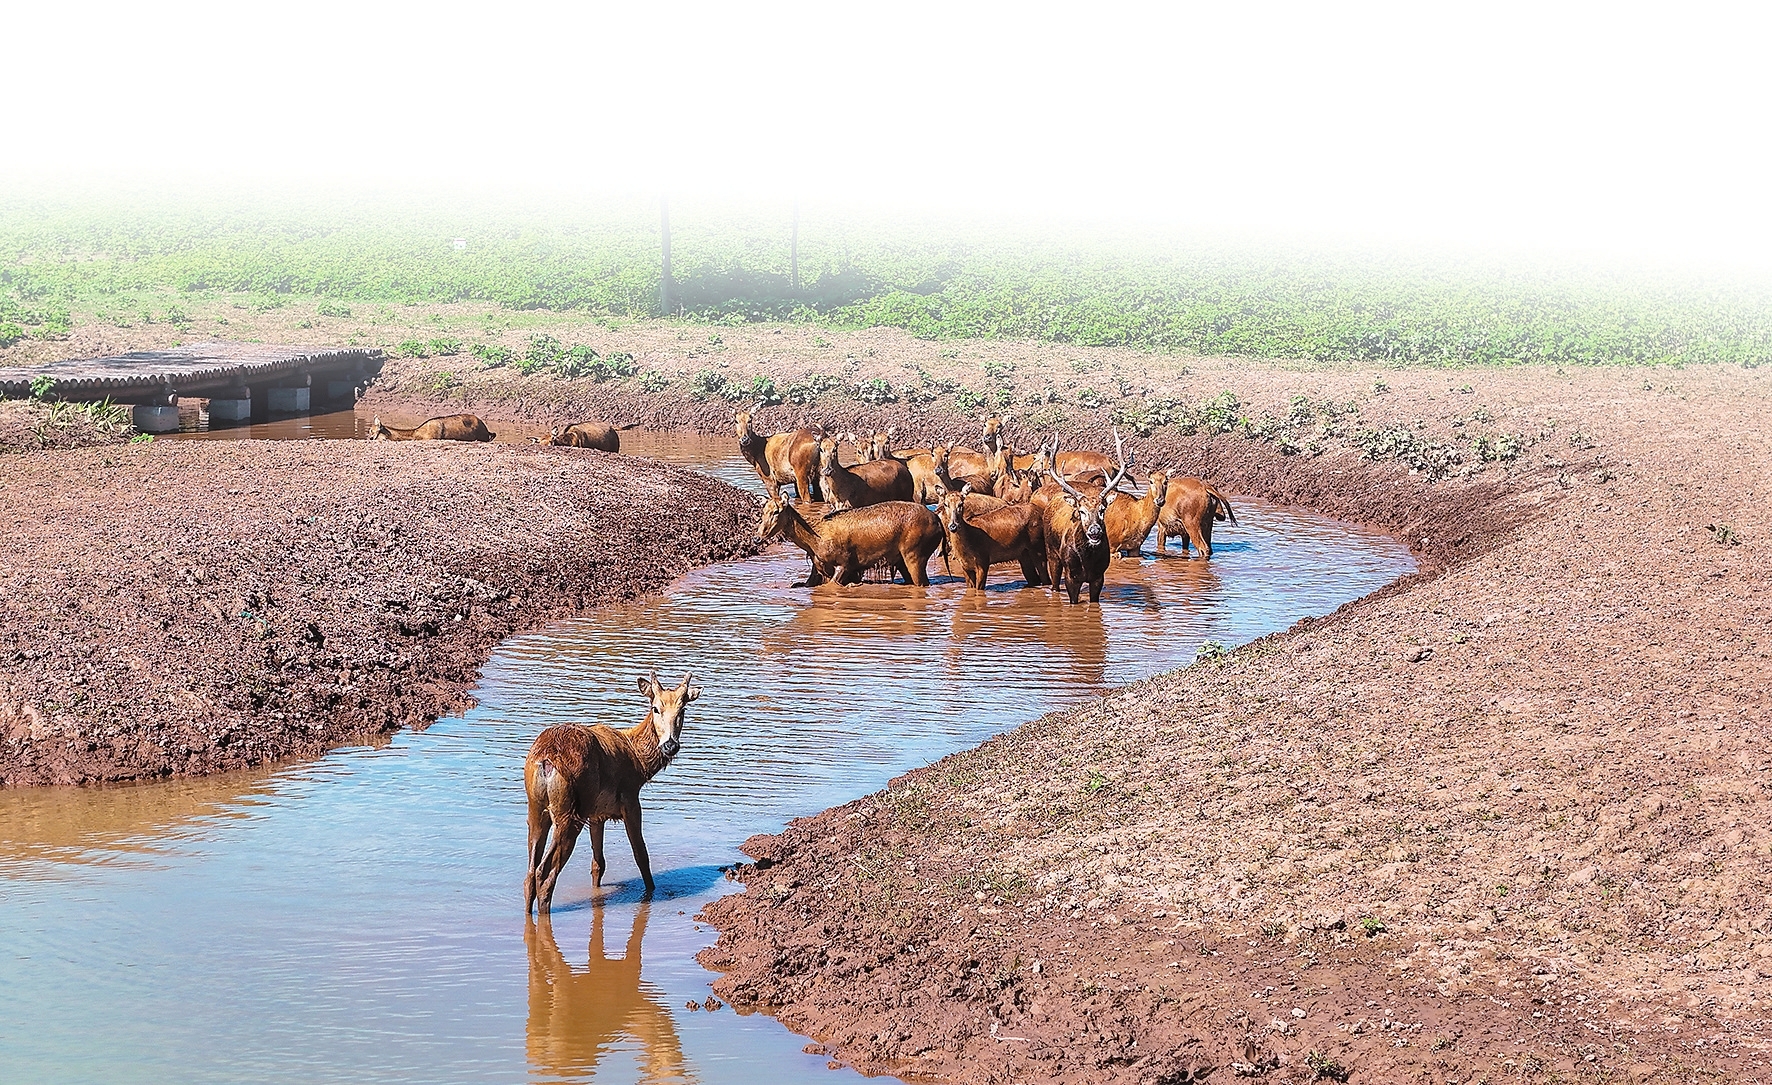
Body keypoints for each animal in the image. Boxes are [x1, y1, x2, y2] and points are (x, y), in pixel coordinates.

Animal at [523, 671, 702, 914]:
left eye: (682, 709)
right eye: (655, 708)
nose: (670, 746)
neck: (639, 763)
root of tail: (546, 760)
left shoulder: (597, 814)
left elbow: (598, 863)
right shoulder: (630, 798)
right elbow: (641, 854)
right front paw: (651, 891)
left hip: (536, 807)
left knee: (530, 874)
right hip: (569, 812)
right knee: (545, 873)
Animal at [757, 494, 943, 586]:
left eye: (776, 511)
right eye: (763, 511)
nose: (758, 537)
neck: (813, 542)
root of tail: (938, 522)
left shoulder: (845, 563)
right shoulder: (818, 569)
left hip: (915, 554)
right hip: (901, 560)